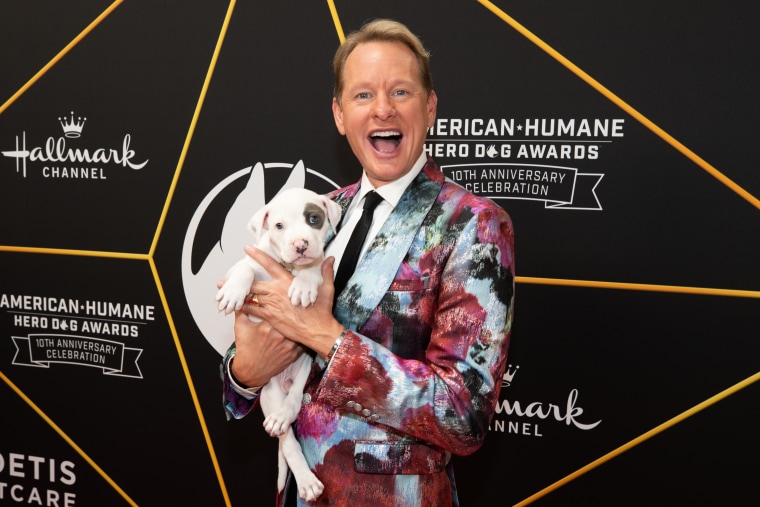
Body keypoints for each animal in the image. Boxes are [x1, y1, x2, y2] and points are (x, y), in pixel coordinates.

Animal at [215, 188, 342, 504]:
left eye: (313, 219)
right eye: (279, 226)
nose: (300, 245)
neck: (287, 267)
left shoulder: (320, 268)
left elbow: (312, 270)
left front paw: (303, 285)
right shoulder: (248, 263)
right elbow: (245, 269)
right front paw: (234, 291)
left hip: (303, 370)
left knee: (293, 404)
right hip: (269, 394)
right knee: (287, 441)